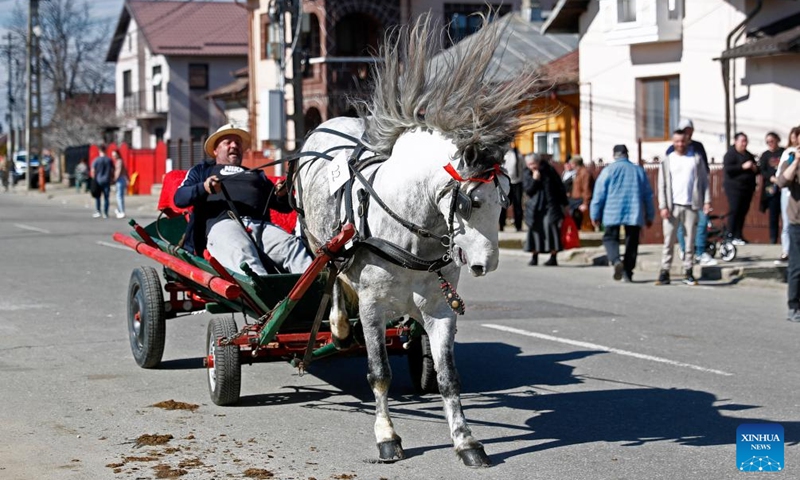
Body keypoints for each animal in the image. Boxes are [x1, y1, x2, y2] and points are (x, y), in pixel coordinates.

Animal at [294, 12, 536, 467]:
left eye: (506, 199)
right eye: (471, 200)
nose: (487, 264)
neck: (410, 235)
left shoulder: (441, 307)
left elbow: (448, 377)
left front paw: (466, 440)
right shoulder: (371, 305)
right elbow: (379, 373)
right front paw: (387, 436)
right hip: (321, 242)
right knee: (332, 273)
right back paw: (337, 326)